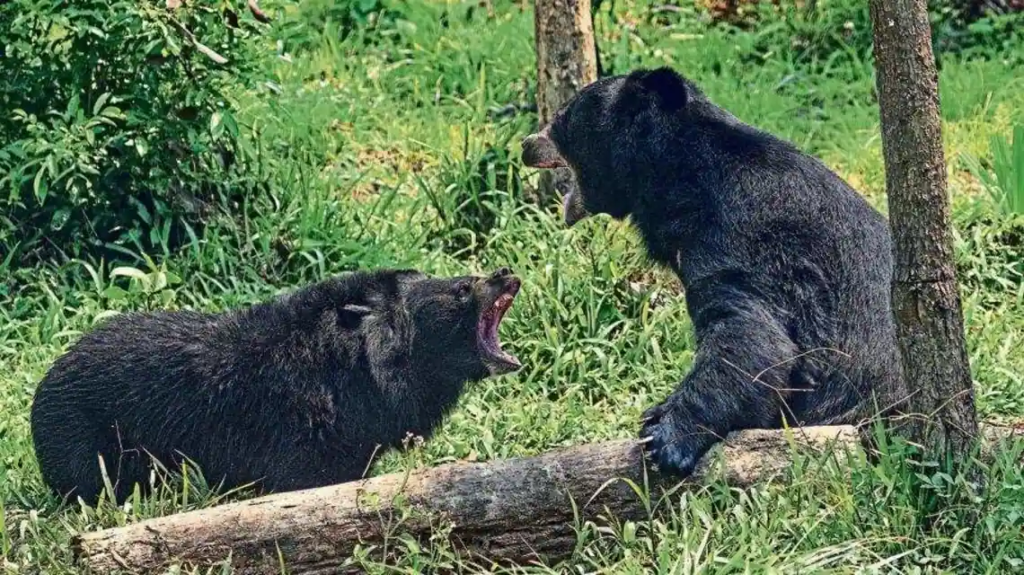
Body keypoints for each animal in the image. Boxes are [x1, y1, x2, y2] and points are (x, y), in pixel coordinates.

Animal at [524, 67, 901, 476]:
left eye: (563, 117)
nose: (527, 145)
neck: (679, 174)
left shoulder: (739, 234)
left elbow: (754, 337)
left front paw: (666, 436)